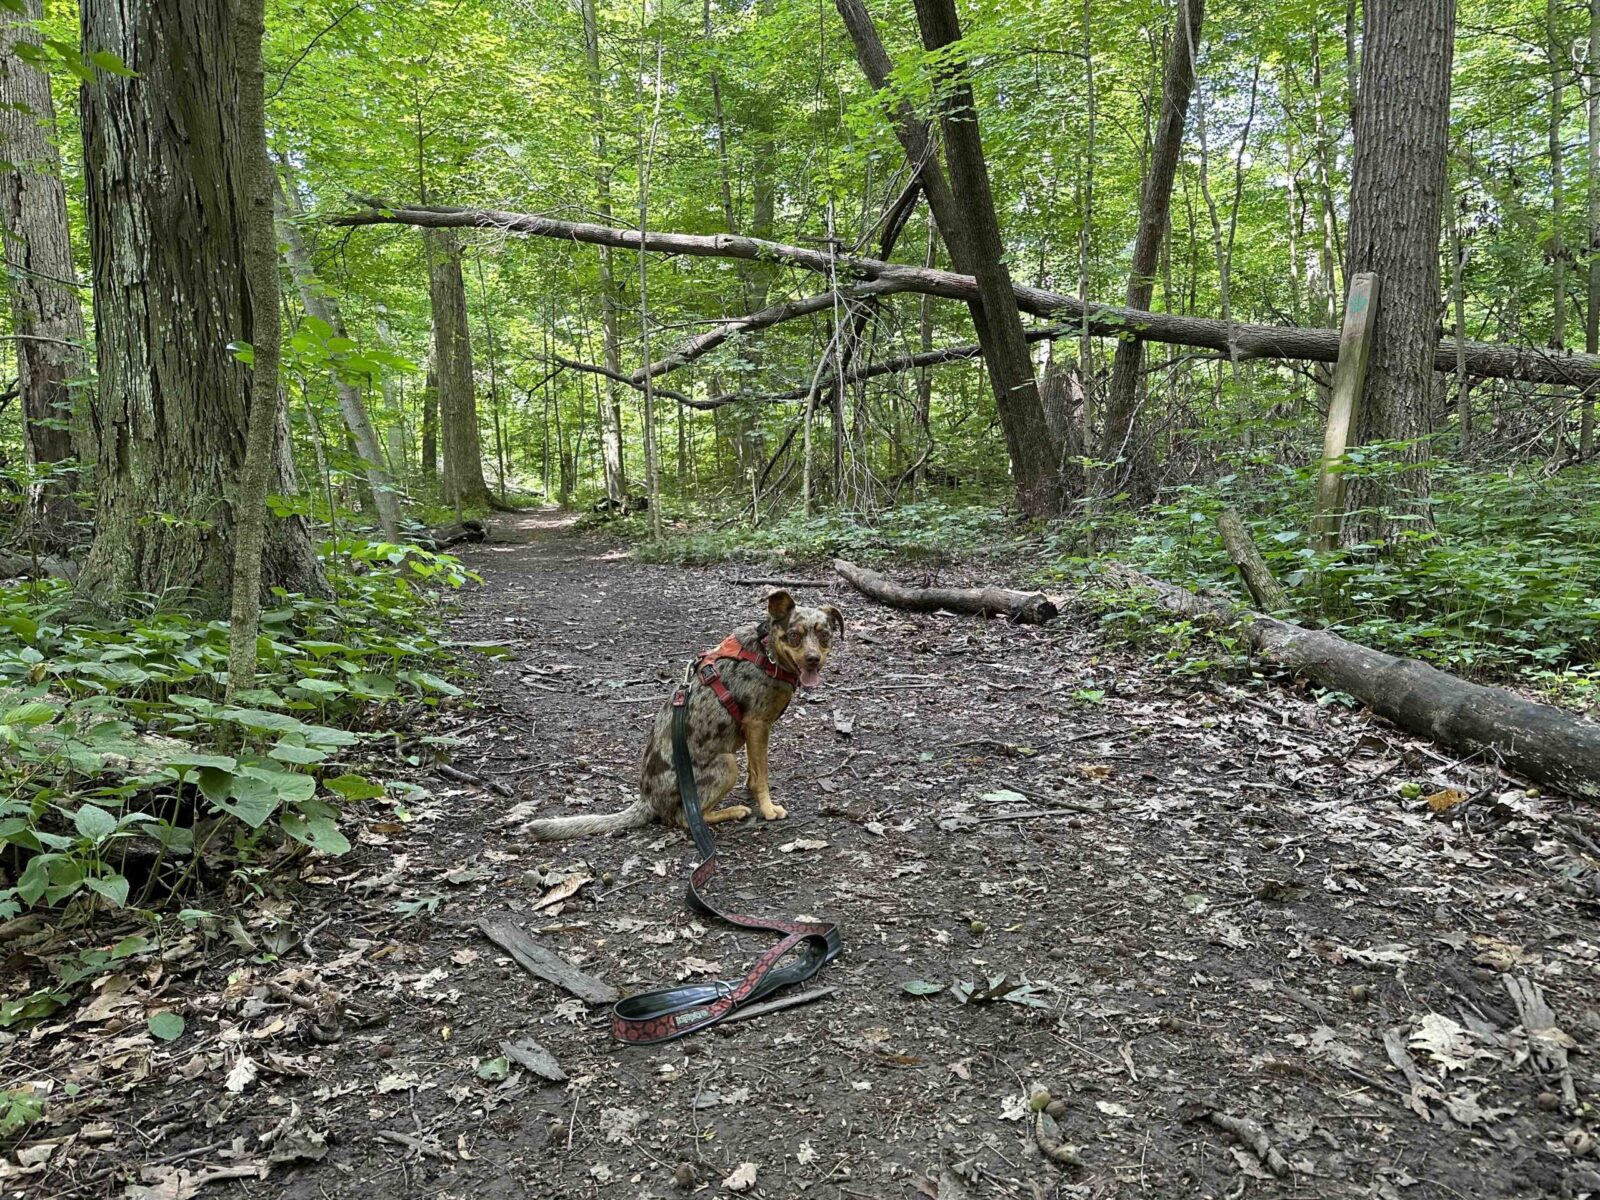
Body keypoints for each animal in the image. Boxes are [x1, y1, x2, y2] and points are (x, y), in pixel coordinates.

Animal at [528, 595, 851, 838]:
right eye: (794, 636)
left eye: (824, 635)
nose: (813, 660)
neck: (768, 652)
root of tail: (646, 800)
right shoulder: (758, 725)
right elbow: (762, 777)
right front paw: (769, 809)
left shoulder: (753, 731)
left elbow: (755, 771)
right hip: (726, 764)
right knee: (685, 818)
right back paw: (731, 811)